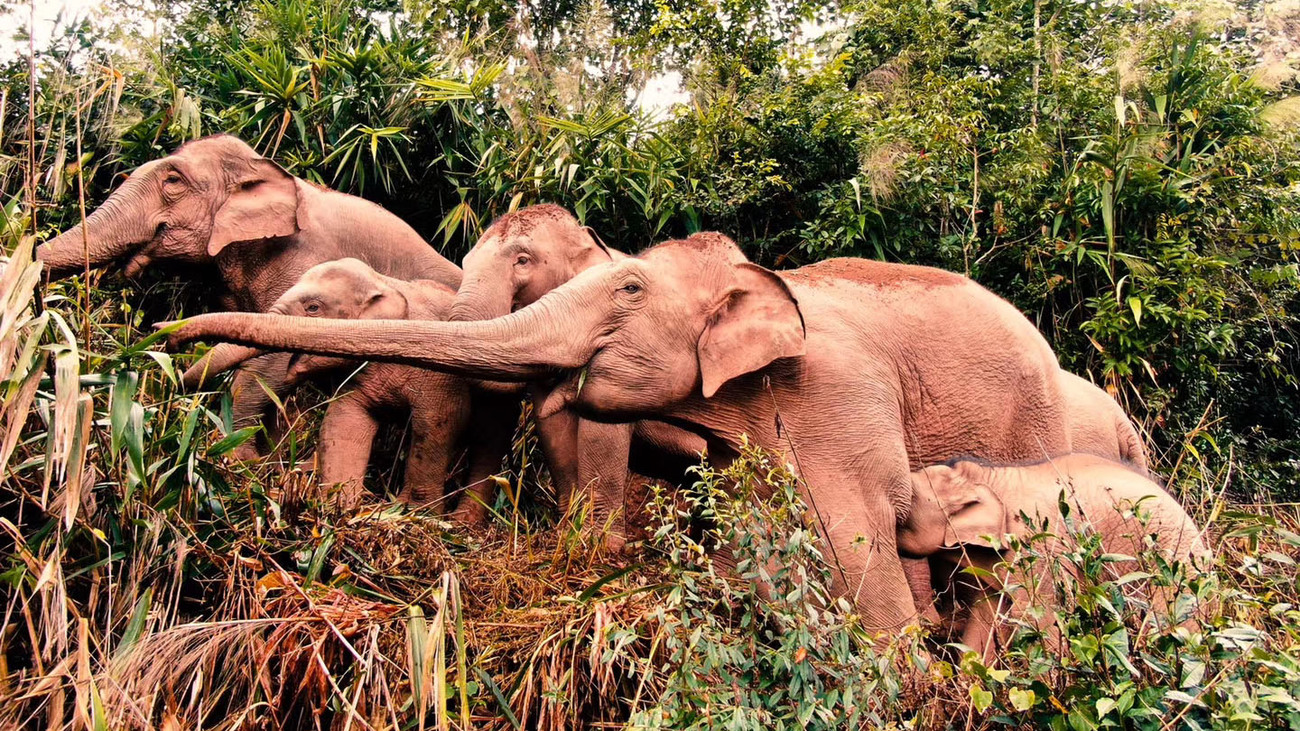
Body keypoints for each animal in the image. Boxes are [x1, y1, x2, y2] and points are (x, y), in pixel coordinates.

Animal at [39, 133, 462, 457]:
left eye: (173, 181)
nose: (164, 347)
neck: (264, 167)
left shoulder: (305, 258)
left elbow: (269, 357)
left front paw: (236, 460)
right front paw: (268, 457)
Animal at [180, 258, 504, 515]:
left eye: (313, 307)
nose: (170, 339)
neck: (384, 281)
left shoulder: (438, 374)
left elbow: (439, 422)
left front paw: (413, 514)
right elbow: (343, 423)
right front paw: (339, 508)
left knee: (488, 439)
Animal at [449, 202, 712, 541]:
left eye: (523, 260)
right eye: (465, 262)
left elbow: (604, 430)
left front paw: (598, 544)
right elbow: (553, 428)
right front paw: (567, 530)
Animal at [899, 452, 1211, 658]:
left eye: (907, 499)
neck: (987, 476)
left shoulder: (1041, 550)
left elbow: (1044, 620)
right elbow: (985, 617)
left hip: (1174, 569)